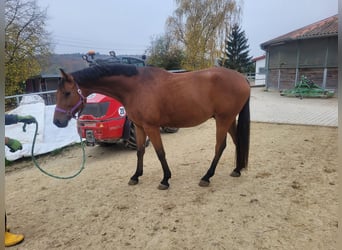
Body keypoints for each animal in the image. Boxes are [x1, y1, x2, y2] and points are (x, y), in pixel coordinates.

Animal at [54, 64, 251, 189]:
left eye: (67, 93)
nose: (57, 121)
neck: (135, 88)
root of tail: (242, 78)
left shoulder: (151, 127)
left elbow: (160, 152)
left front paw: (165, 180)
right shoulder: (139, 127)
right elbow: (140, 151)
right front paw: (135, 176)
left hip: (223, 120)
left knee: (220, 146)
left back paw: (207, 177)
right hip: (228, 119)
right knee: (237, 142)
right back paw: (237, 170)